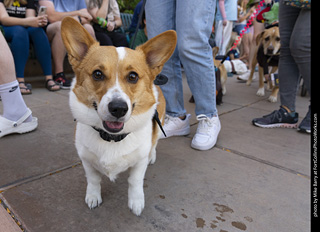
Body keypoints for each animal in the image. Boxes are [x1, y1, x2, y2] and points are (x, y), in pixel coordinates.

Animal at [61, 16, 176, 216]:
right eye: (97, 74)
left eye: (133, 76)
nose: (118, 108)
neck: (111, 138)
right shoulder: (87, 160)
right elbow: (93, 180)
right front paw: (93, 197)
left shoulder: (139, 163)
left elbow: (135, 182)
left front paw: (136, 202)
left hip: (159, 124)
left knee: (154, 143)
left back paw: (152, 156)